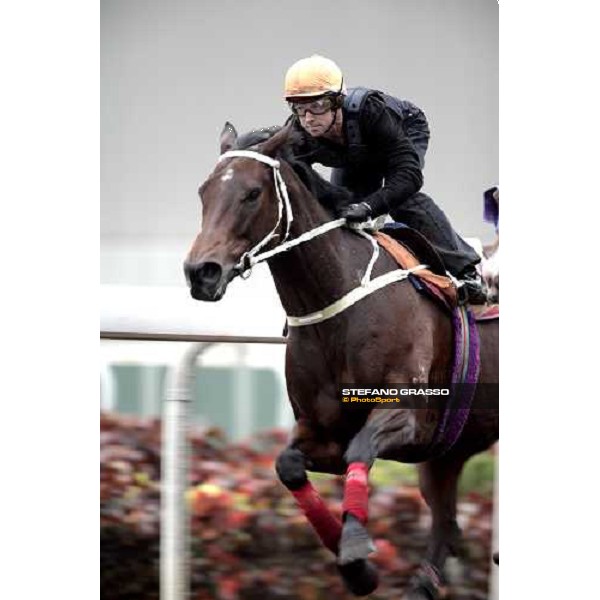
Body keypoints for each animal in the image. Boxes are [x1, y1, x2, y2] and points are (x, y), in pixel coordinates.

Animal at [185, 123, 500, 600]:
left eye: (252, 193)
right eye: (203, 191)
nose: (200, 272)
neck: (337, 306)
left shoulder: (409, 416)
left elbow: (362, 448)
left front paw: (353, 546)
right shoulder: (322, 430)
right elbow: (288, 465)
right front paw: (356, 569)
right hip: (448, 452)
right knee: (447, 526)